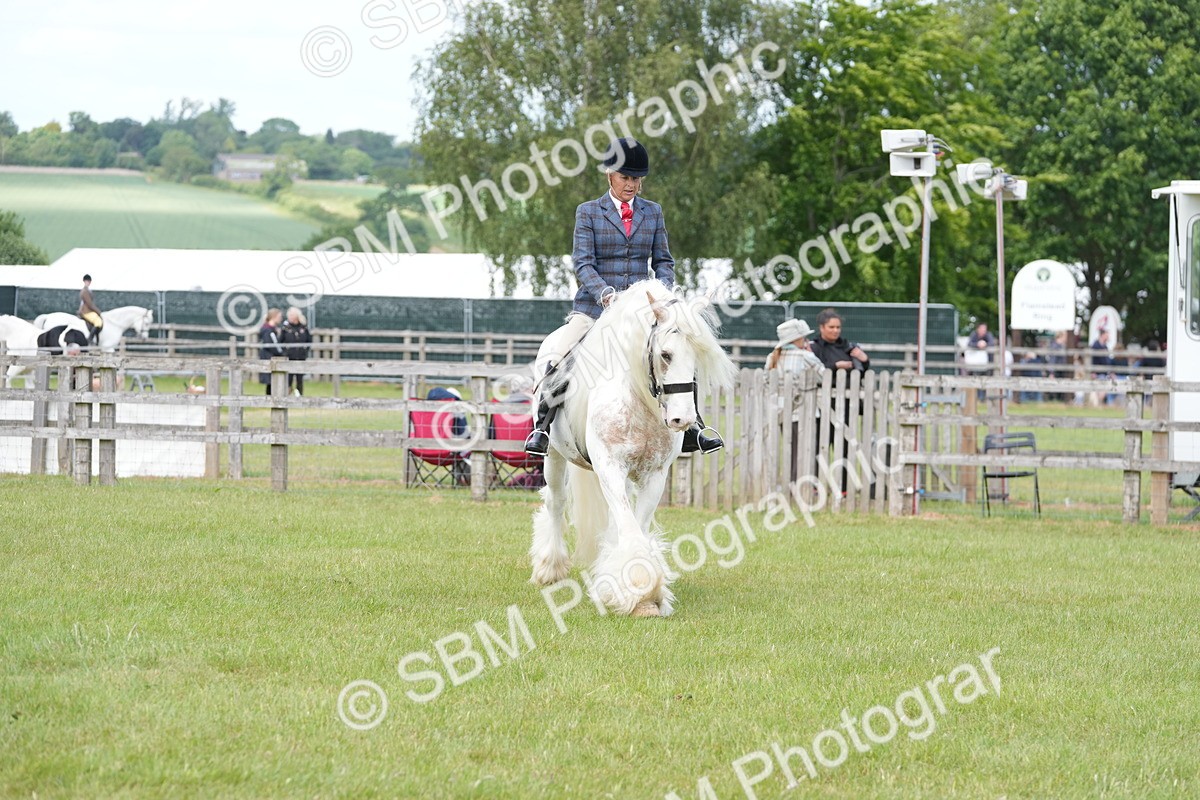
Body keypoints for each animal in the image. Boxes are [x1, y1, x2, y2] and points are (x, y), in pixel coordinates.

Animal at [528, 280, 737, 617]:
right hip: (555, 457)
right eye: (665, 354)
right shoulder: (610, 468)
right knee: (555, 503)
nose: (682, 419)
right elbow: (627, 527)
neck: (637, 399)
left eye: (698, 357)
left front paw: (635, 591)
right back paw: (549, 569)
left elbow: (634, 526)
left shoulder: (654, 476)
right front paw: (640, 595)